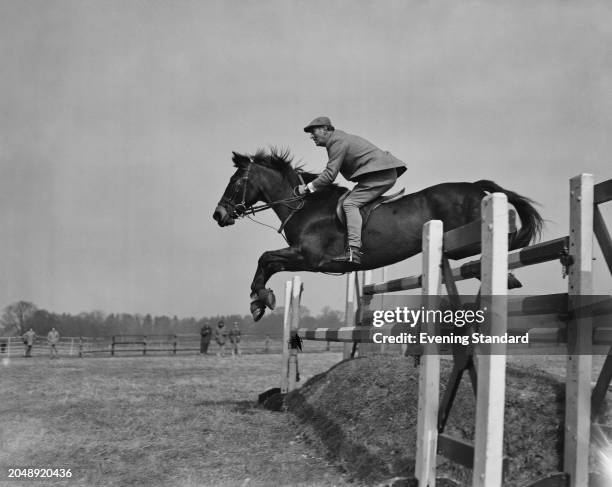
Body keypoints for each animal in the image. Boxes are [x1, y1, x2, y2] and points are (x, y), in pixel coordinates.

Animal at [212, 149, 540, 324]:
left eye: (236, 182)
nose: (218, 215)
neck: (305, 206)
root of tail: (473, 186)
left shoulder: (308, 257)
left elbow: (265, 258)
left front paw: (260, 298)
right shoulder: (301, 257)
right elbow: (268, 262)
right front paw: (259, 301)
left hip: (464, 241)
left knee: (505, 238)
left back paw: (507, 274)